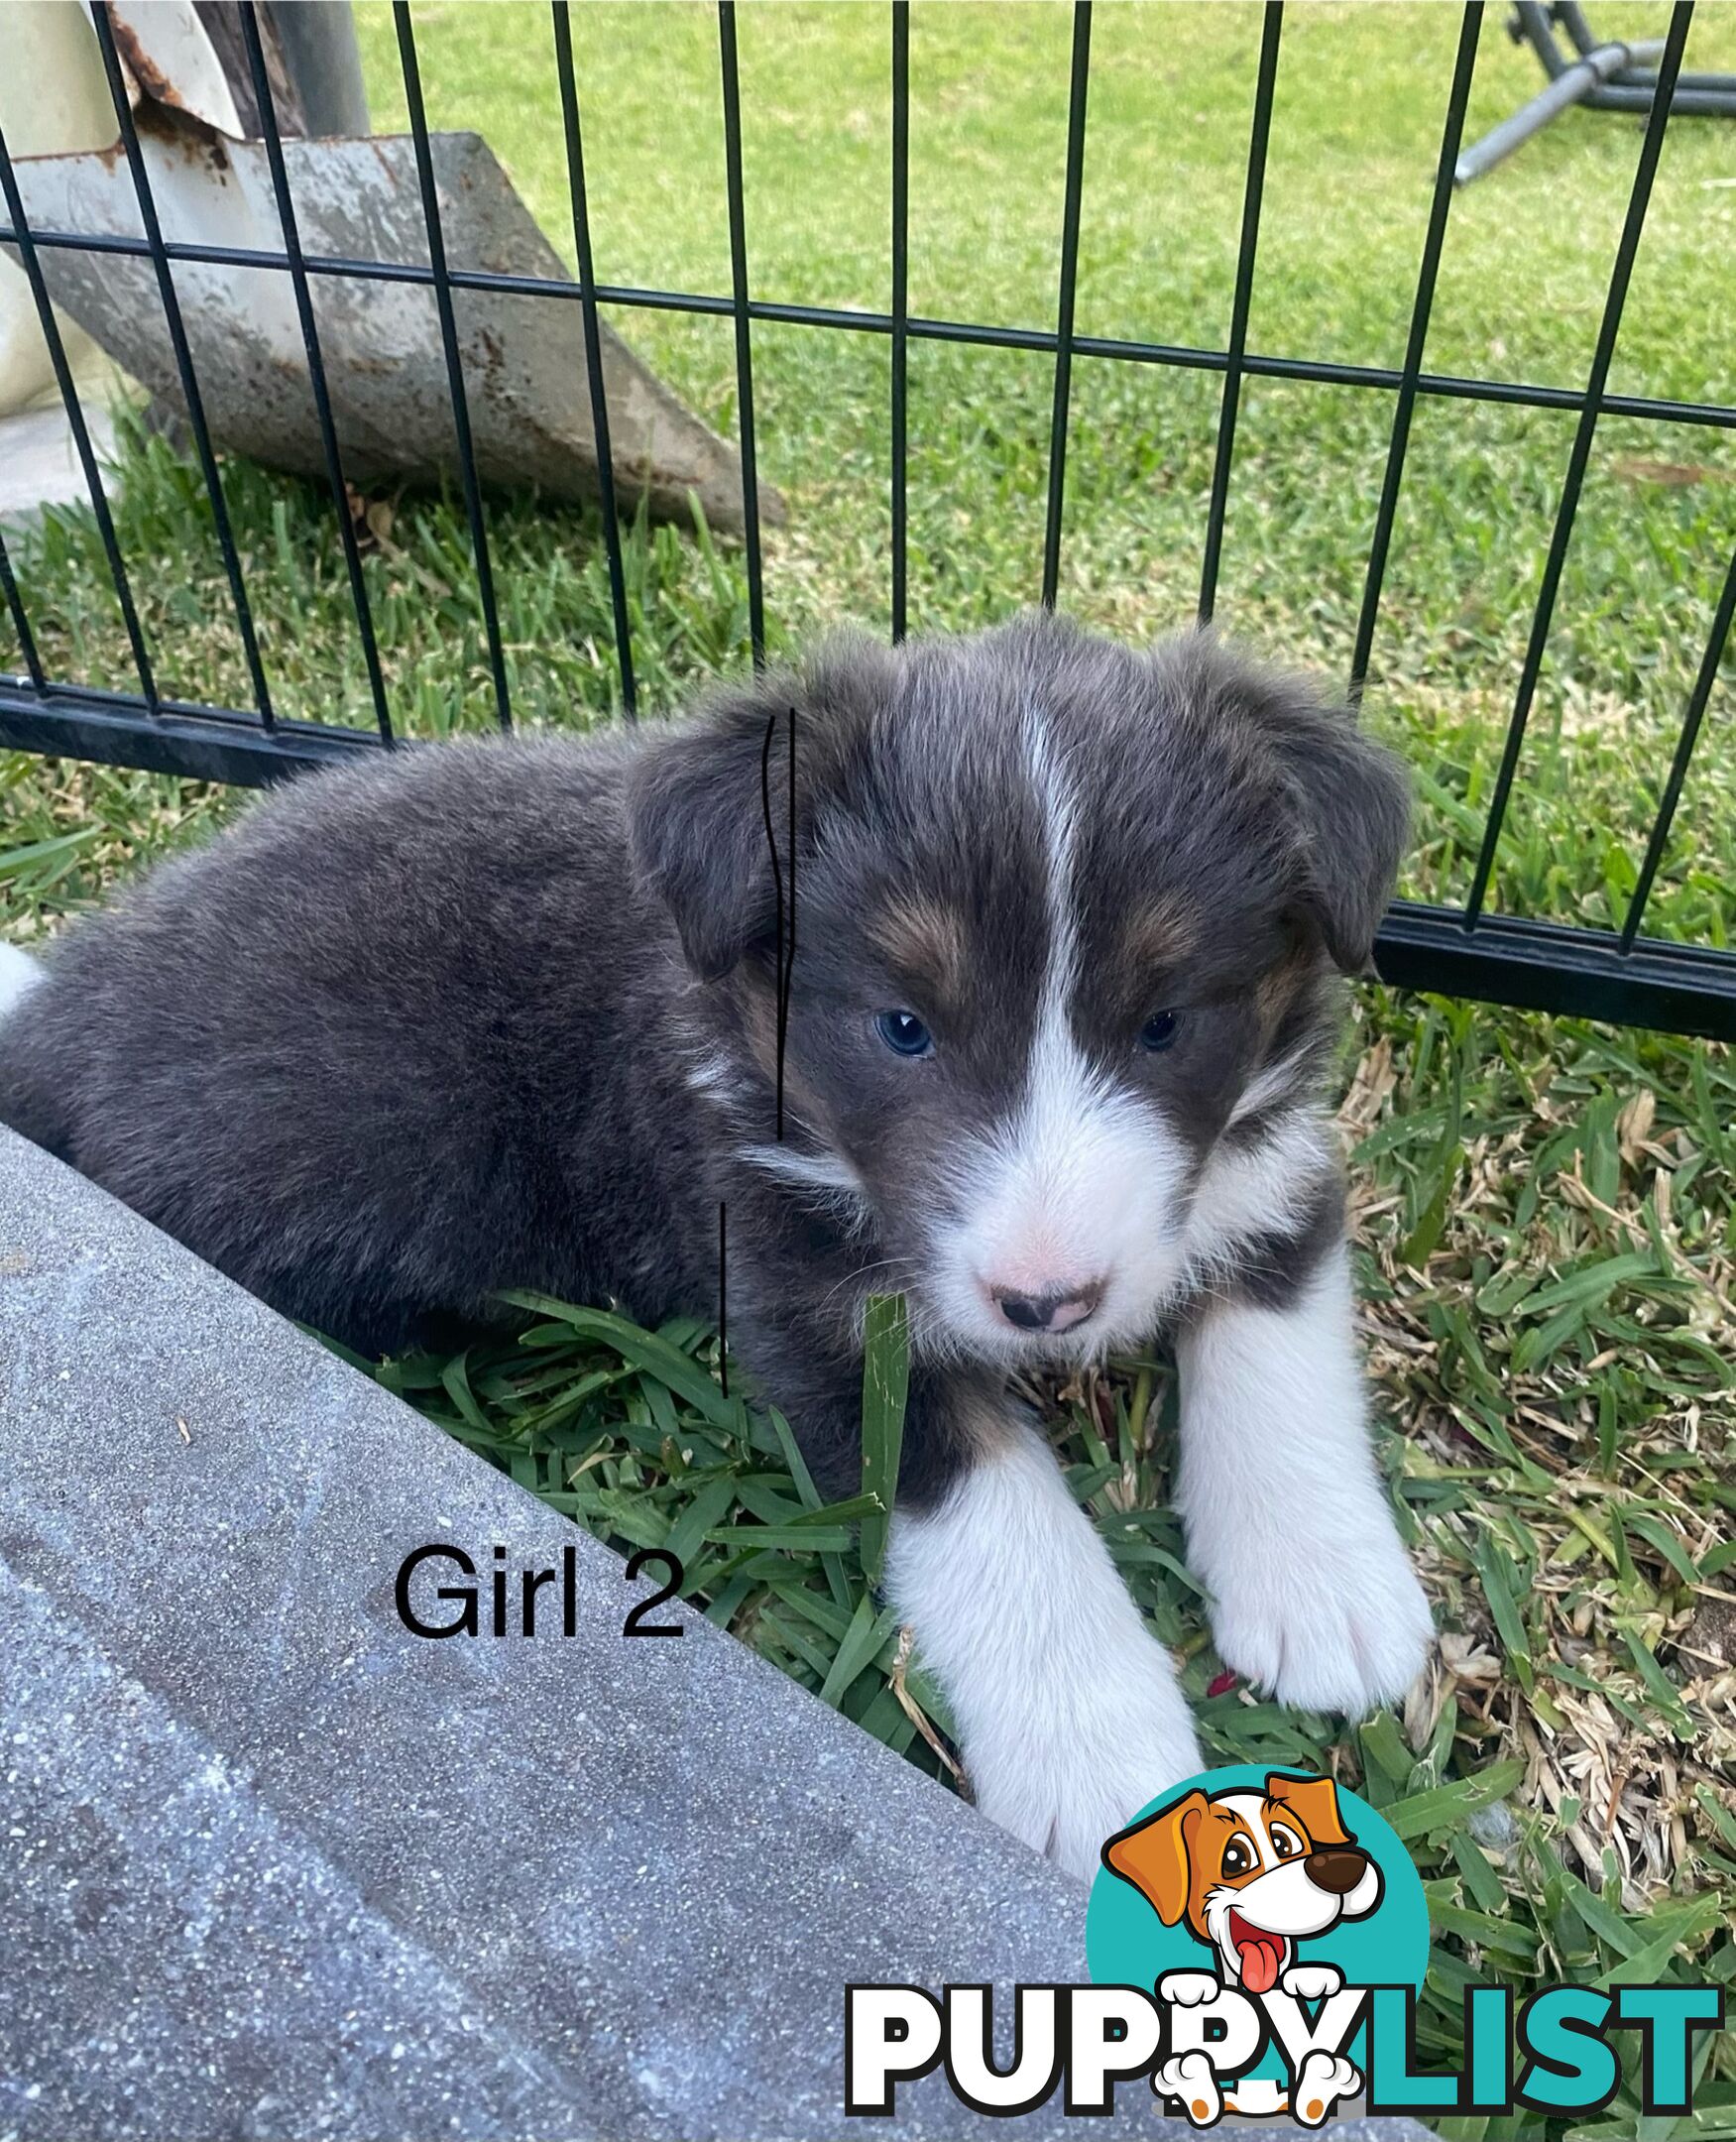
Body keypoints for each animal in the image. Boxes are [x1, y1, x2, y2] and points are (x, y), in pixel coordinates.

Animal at [0, 612, 1430, 1867]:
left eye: (1165, 1023)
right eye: (901, 1027)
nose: (1048, 1303)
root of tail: (70, 1009)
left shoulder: (1267, 1165)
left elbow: (1274, 1335)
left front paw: (1323, 1588)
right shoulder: (807, 1301)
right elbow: (994, 1507)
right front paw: (1102, 1754)